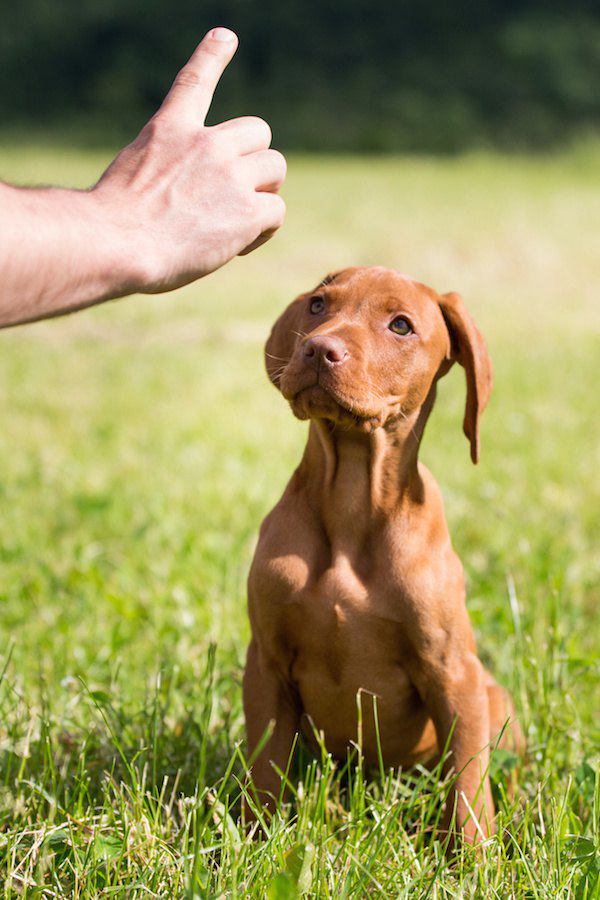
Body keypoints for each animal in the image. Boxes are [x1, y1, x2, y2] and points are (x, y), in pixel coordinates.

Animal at [243, 266, 520, 844]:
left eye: (400, 325)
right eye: (318, 305)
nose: (318, 350)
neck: (352, 497)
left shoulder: (453, 672)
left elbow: (469, 781)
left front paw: (475, 855)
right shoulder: (266, 662)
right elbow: (265, 771)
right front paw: (252, 840)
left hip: (495, 698)